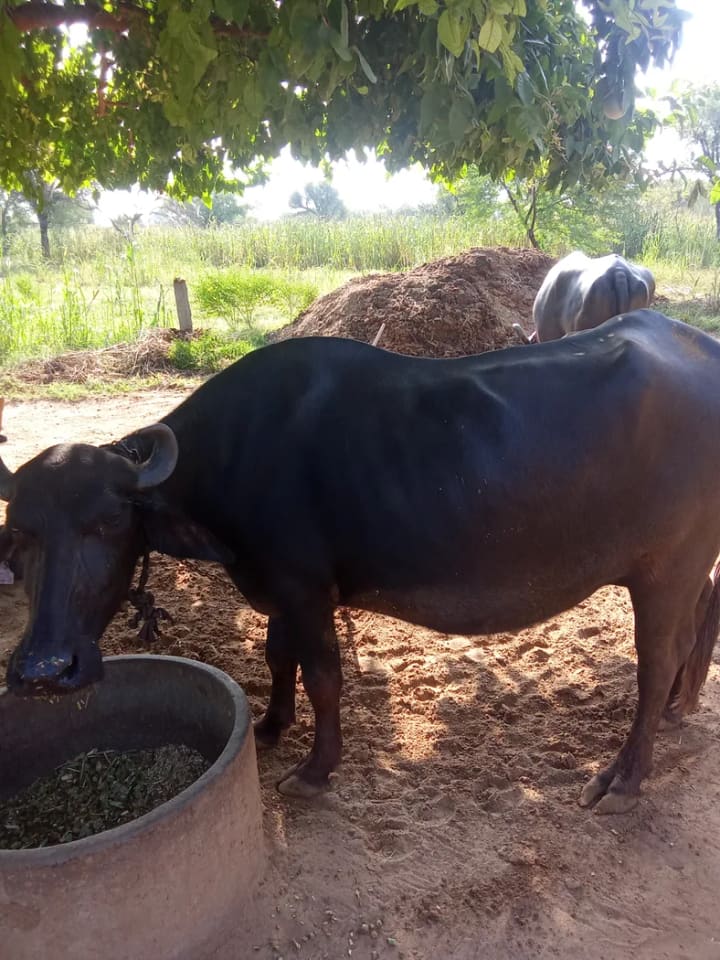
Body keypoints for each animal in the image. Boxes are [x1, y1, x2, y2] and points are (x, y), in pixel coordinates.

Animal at [1, 309, 719, 813]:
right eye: (19, 536)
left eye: (106, 522)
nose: (43, 670)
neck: (236, 455)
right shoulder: (278, 588)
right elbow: (278, 656)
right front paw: (271, 724)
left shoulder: (305, 588)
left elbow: (323, 675)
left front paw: (316, 769)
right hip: (692, 565)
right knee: (700, 621)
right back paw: (679, 710)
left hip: (667, 568)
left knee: (657, 659)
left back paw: (624, 777)